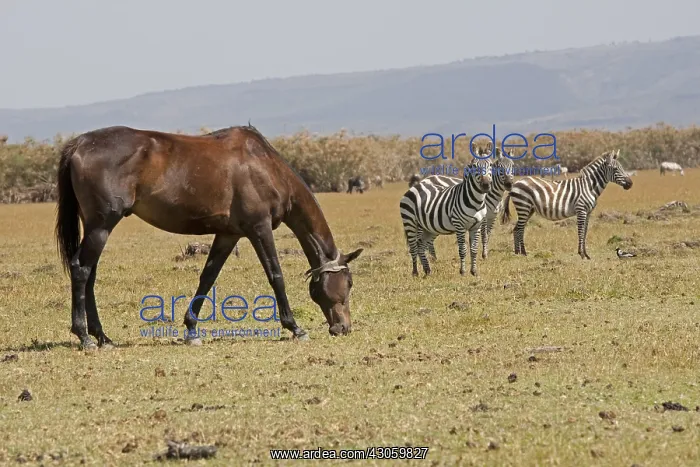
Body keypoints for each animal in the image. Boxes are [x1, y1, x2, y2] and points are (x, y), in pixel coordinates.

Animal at [55, 124, 363, 350]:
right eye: (348, 283)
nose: (343, 328)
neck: (266, 167)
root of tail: (80, 143)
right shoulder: (259, 228)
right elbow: (276, 276)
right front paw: (295, 327)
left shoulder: (228, 234)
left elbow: (208, 277)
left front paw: (192, 329)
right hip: (101, 225)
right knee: (81, 270)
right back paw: (85, 336)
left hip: (95, 227)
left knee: (90, 274)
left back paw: (102, 337)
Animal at [501, 149, 632, 259]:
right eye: (615, 169)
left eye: (621, 167)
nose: (630, 184)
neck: (589, 187)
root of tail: (516, 183)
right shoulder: (581, 210)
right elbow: (580, 231)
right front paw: (581, 254)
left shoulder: (588, 212)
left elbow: (585, 232)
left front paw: (586, 254)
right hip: (523, 206)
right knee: (519, 229)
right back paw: (522, 253)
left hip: (529, 209)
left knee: (517, 229)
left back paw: (518, 253)